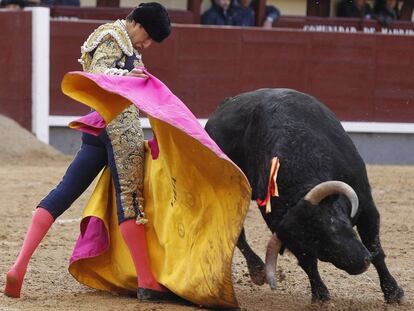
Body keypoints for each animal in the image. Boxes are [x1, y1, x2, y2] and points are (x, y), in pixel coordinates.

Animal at [205, 88, 404, 304]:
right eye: (318, 249)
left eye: (334, 225)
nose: (361, 263)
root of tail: (224, 105)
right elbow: (307, 263)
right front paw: (320, 294)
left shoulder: (367, 207)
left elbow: (375, 249)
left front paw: (393, 292)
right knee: (237, 233)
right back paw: (257, 270)